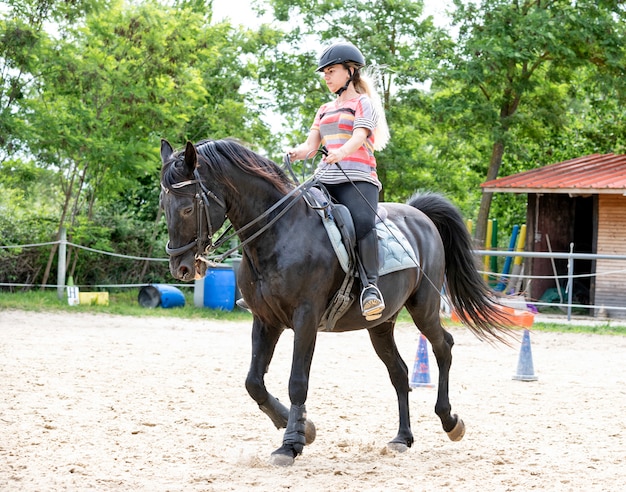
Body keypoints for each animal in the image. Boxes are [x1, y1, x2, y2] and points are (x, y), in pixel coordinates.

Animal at [158, 137, 510, 466]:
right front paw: (305, 428)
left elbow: (297, 381)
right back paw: (402, 437)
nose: (181, 267)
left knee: (443, 347)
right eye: (164, 204)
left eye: (188, 208)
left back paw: (450, 421)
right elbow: (253, 382)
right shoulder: (266, 321)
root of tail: (419, 215)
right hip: (381, 325)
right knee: (399, 372)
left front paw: (291, 444)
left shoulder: (306, 319)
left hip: (423, 307)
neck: (280, 233)